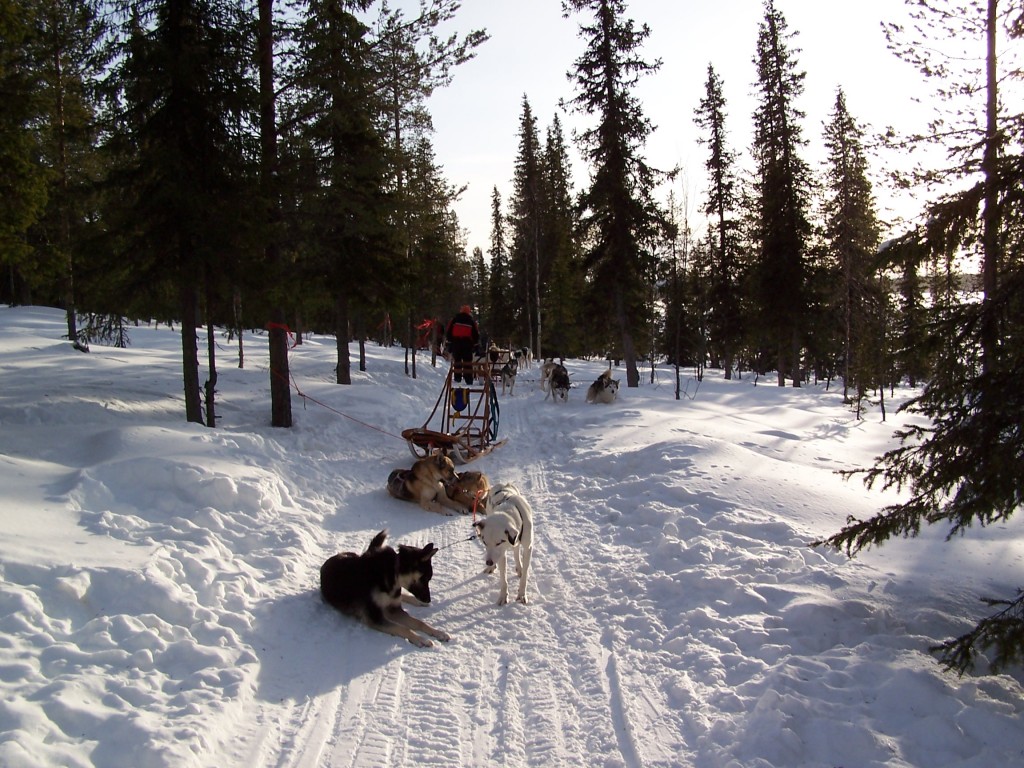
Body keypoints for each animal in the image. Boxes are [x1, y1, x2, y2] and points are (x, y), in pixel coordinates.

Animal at [317, 528, 450, 651]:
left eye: (428, 579)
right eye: (425, 578)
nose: (428, 600)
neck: (392, 575)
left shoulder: (393, 609)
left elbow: (418, 622)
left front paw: (438, 632)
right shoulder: (374, 616)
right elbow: (404, 628)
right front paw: (421, 639)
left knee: (403, 596)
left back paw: (418, 602)